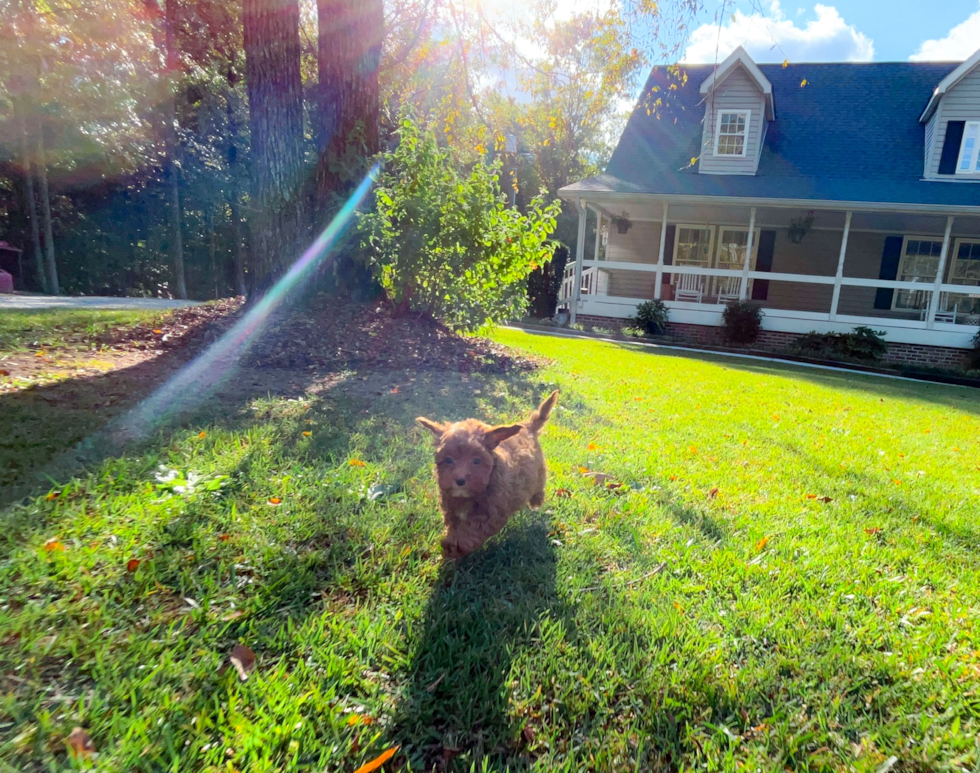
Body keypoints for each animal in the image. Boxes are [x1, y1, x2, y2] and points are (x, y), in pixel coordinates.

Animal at [420, 390, 564, 556]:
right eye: (448, 460)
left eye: (476, 461)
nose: (460, 480)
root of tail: (528, 426)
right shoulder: (450, 508)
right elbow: (454, 526)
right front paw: (449, 543)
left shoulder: (491, 514)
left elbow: (470, 530)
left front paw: (458, 546)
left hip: (539, 471)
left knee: (539, 485)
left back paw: (536, 500)